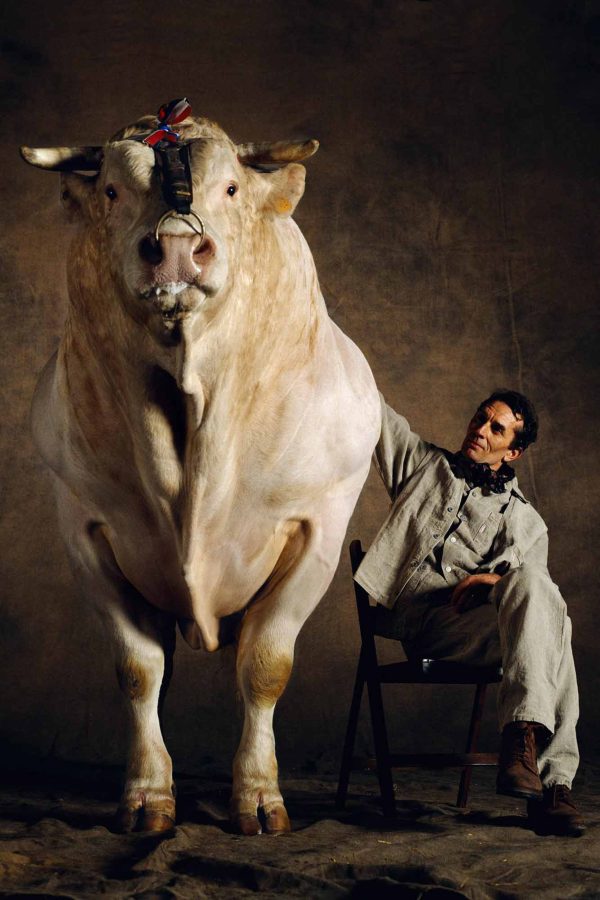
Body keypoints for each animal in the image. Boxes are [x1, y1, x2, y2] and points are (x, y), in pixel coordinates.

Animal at [24, 112, 380, 836]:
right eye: (110, 190)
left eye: (233, 188)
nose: (177, 250)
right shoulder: (83, 527)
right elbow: (138, 669)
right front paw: (147, 796)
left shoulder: (319, 527)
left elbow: (266, 665)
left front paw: (259, 797)